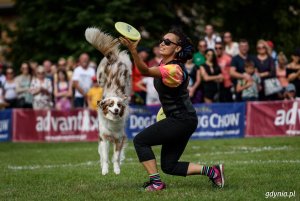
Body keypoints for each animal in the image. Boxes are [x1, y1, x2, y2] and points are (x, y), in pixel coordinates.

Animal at [84, 27, 131, 175]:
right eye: (111, 105)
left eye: (119, 105)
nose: (116, 110)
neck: (112, 122)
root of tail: (113, 60)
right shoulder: (104, 138)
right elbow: (104, 156)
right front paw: (104, 170)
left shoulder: (119, 138)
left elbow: (116, 157)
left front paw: (116, 170)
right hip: (99, 77)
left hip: (127, 74)